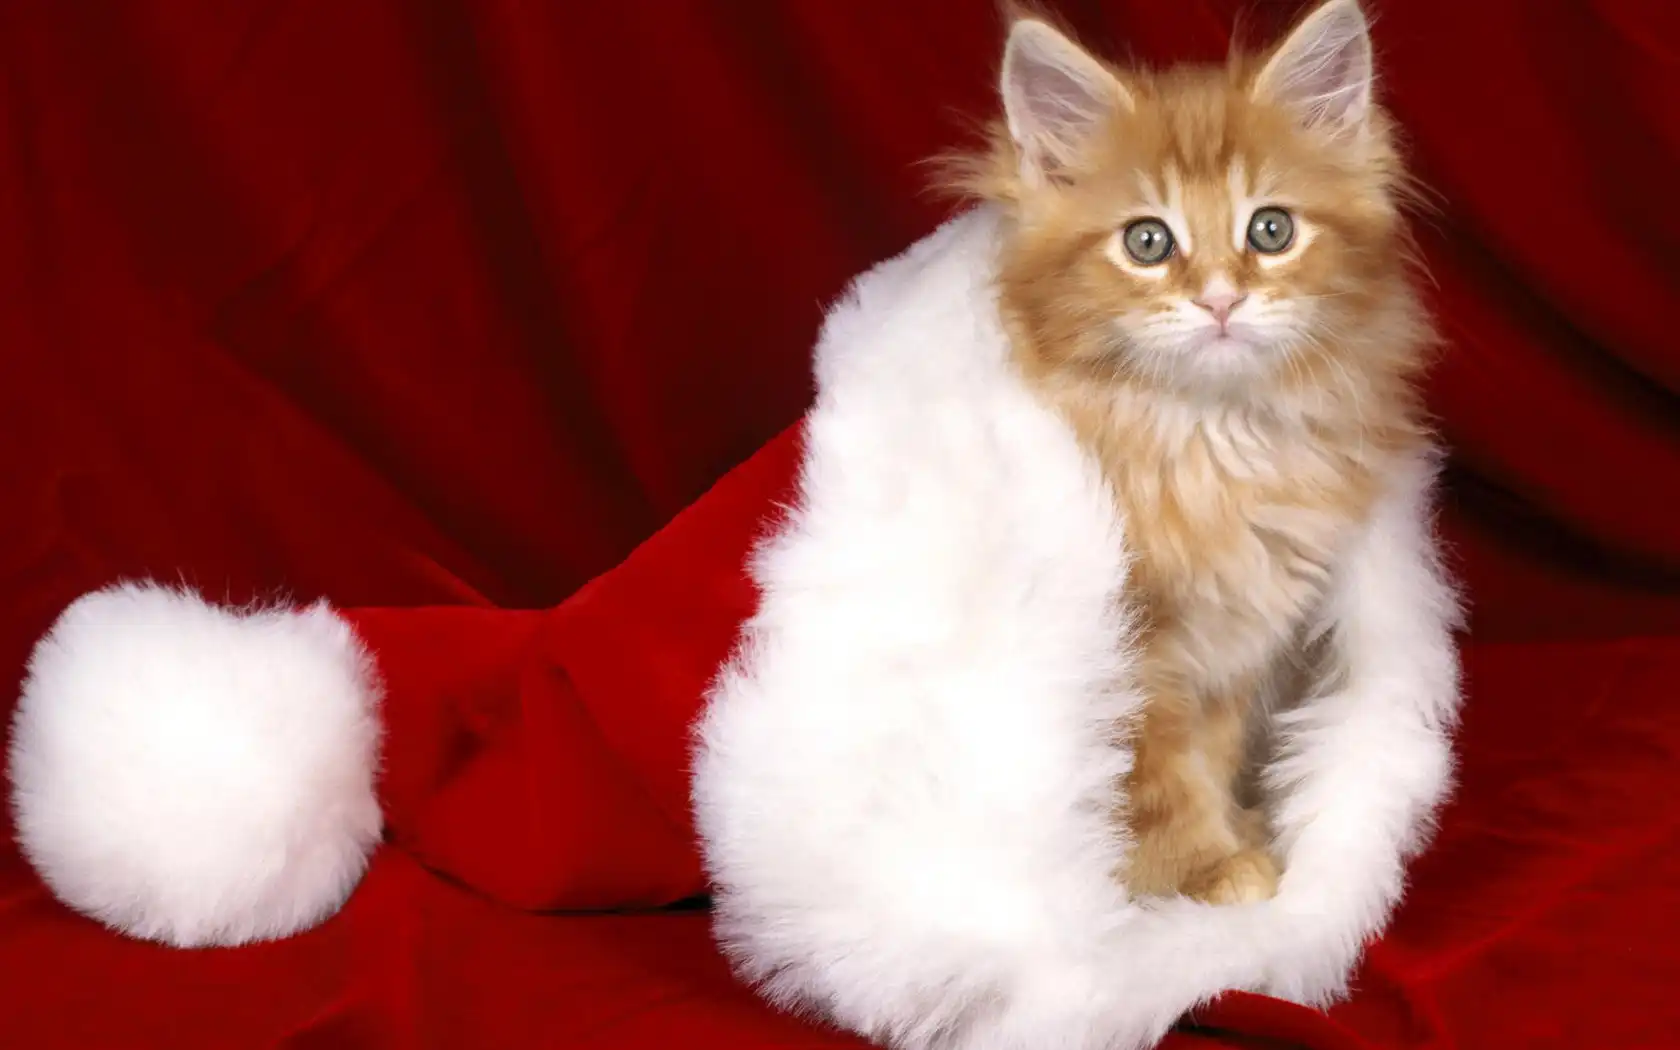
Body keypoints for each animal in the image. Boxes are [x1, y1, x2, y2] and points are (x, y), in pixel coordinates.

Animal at [939, 0, 1436, 904]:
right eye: (1148, 242)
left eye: (1270, 229)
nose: (1220, 299)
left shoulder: (1235, 640)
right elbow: (1154, 778)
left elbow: (1210, 750)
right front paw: (1201, 871)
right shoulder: (1131, 649)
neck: (1213, 442)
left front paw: (1235, 833)